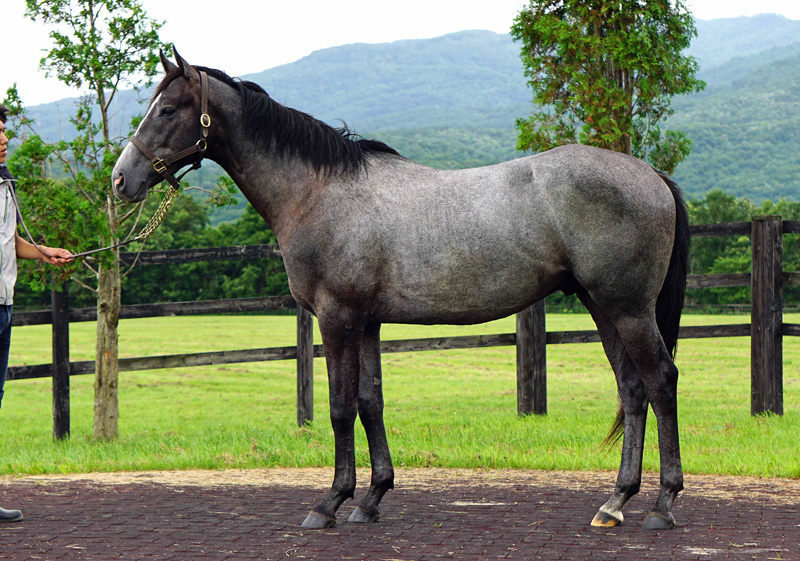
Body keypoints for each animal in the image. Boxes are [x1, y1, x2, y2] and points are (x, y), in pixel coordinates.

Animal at [112, 49, 690, 531]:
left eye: (168, 109)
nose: (121, 180)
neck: (319, 191)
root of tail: (651, 176)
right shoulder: (366, 321)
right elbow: (371, 402)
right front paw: (370, 499)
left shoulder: (337, 318)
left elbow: (340, 406)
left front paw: (330, 503)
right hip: (604, 307)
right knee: (632, 390)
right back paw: (614, 503)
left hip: (628, 309)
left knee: (660, 383)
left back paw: (662, 506)